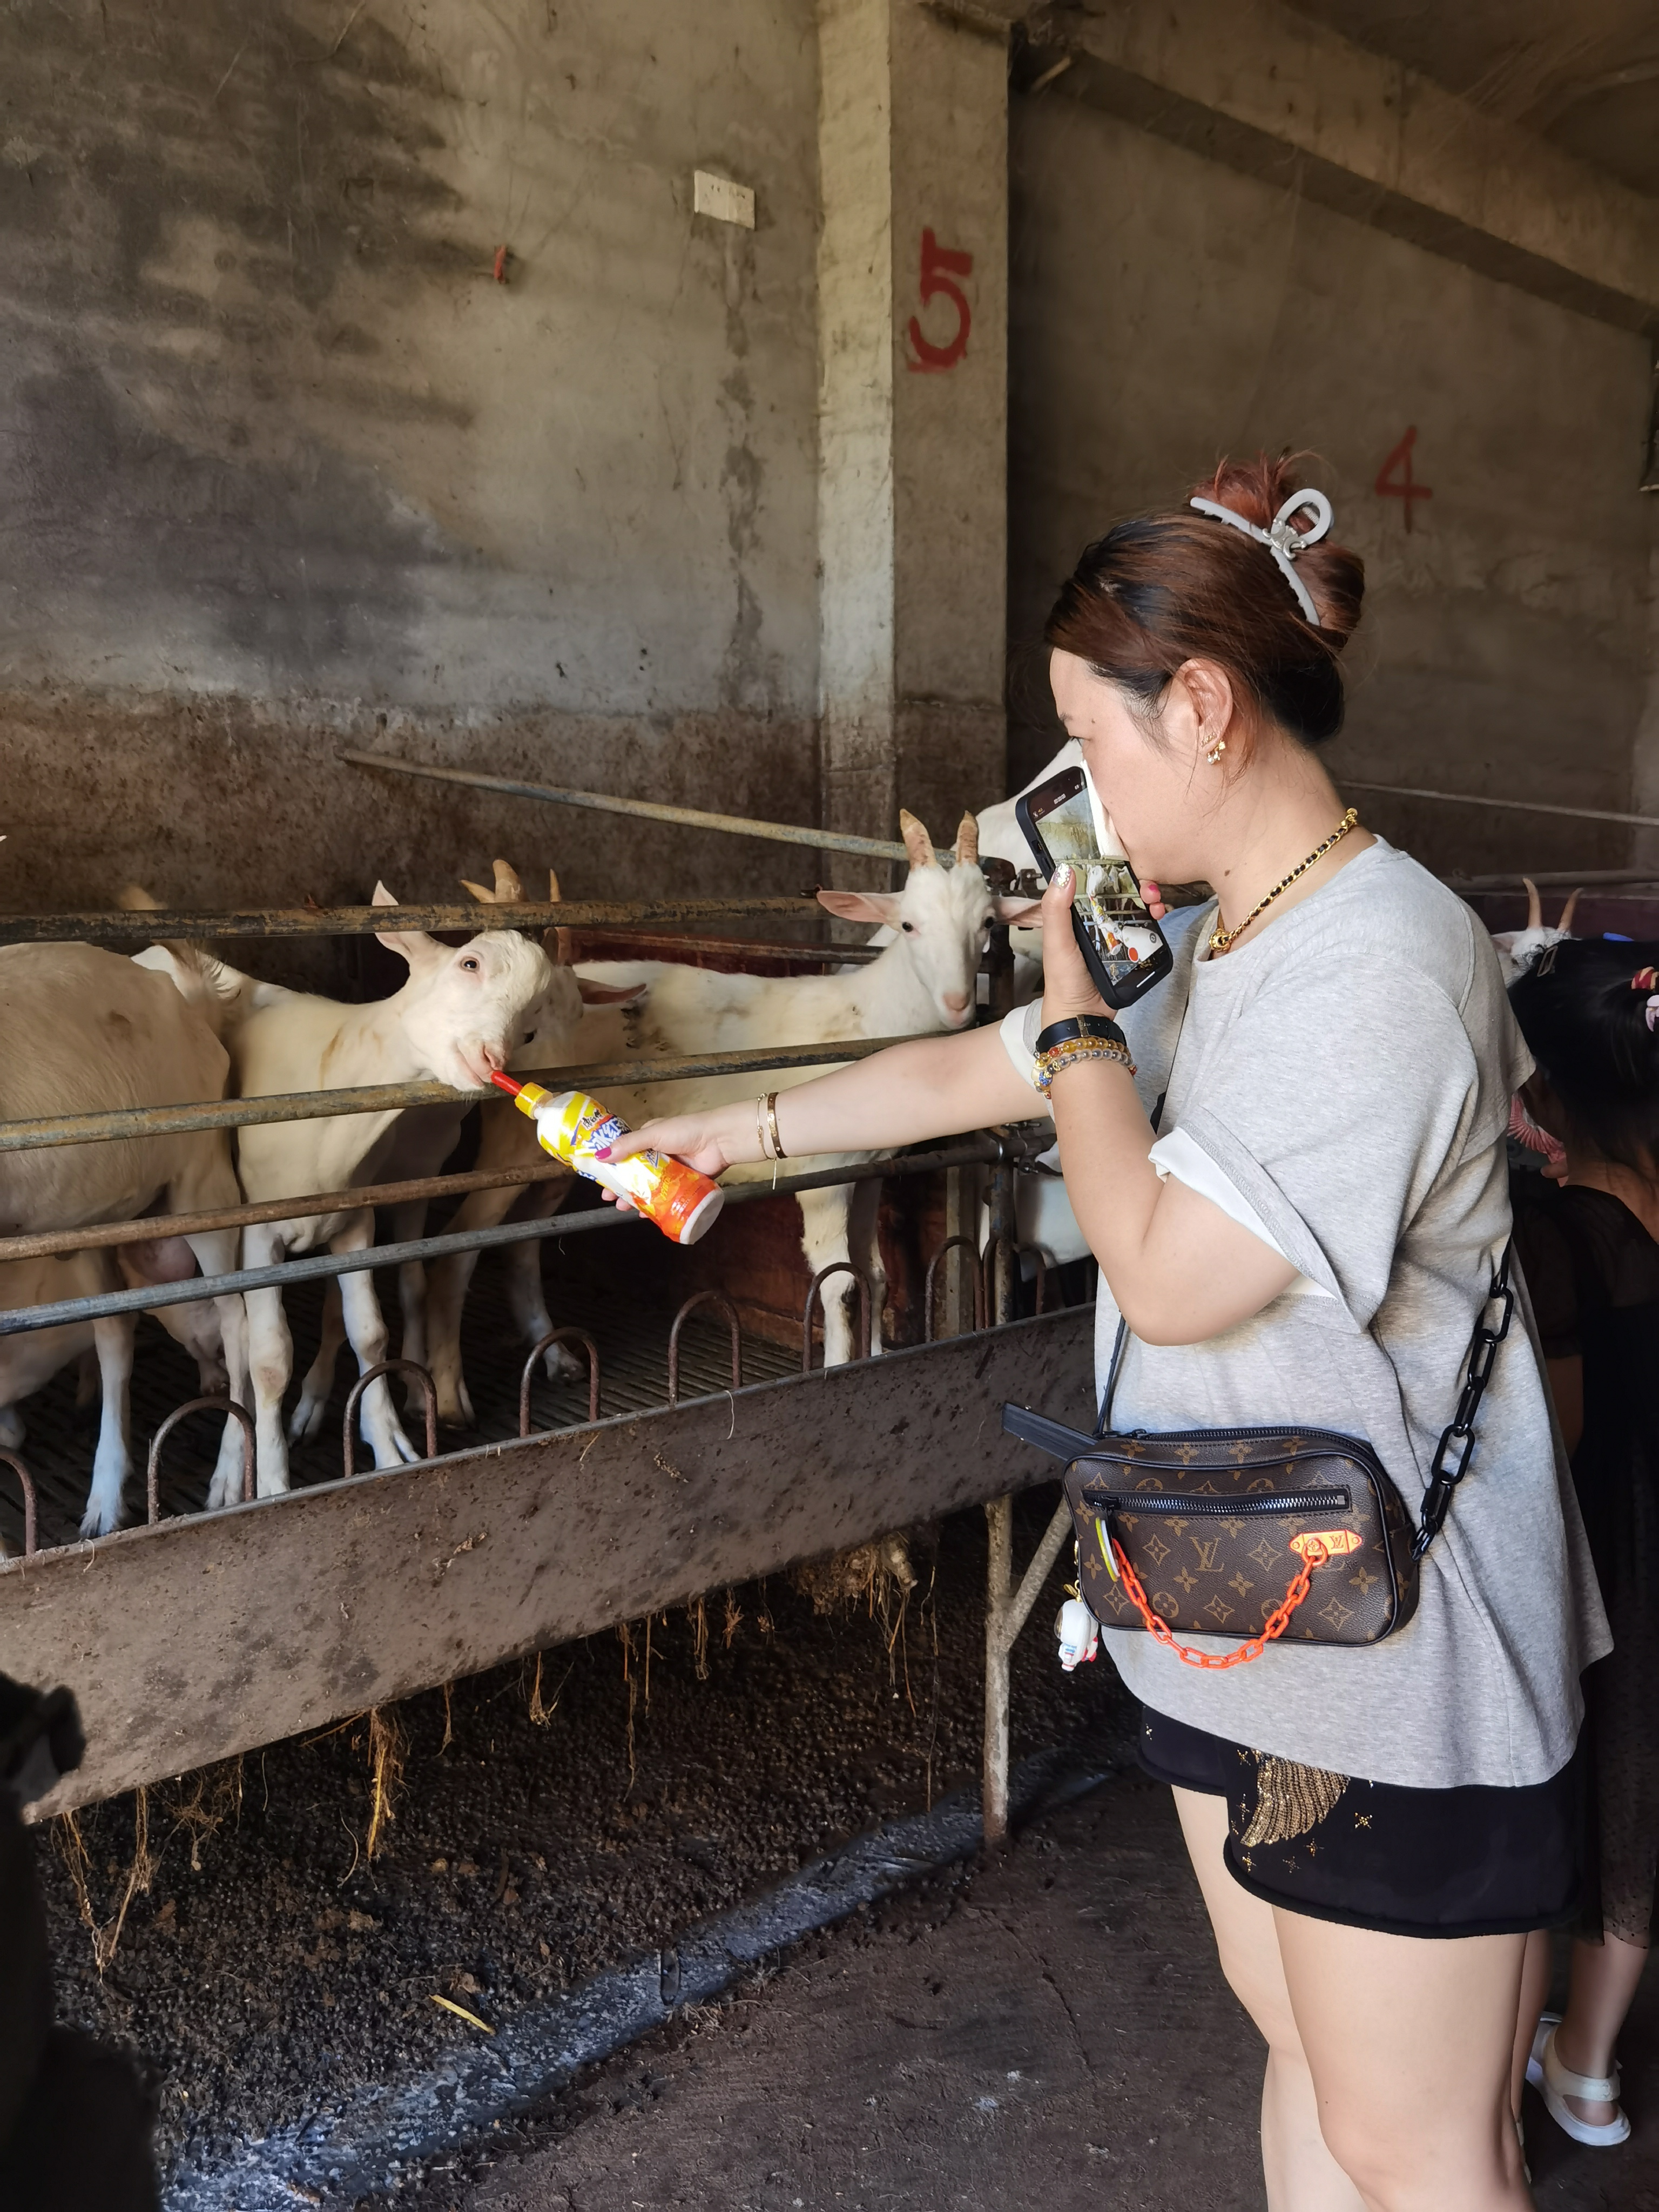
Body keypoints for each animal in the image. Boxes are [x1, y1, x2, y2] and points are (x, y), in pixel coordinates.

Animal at [0, 944, 251, 1535]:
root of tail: (187, 1002)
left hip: (201, 1180)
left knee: (234, 1313)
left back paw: (229, 1475)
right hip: (94, 1215)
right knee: (114, 1331)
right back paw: (105, 1499)